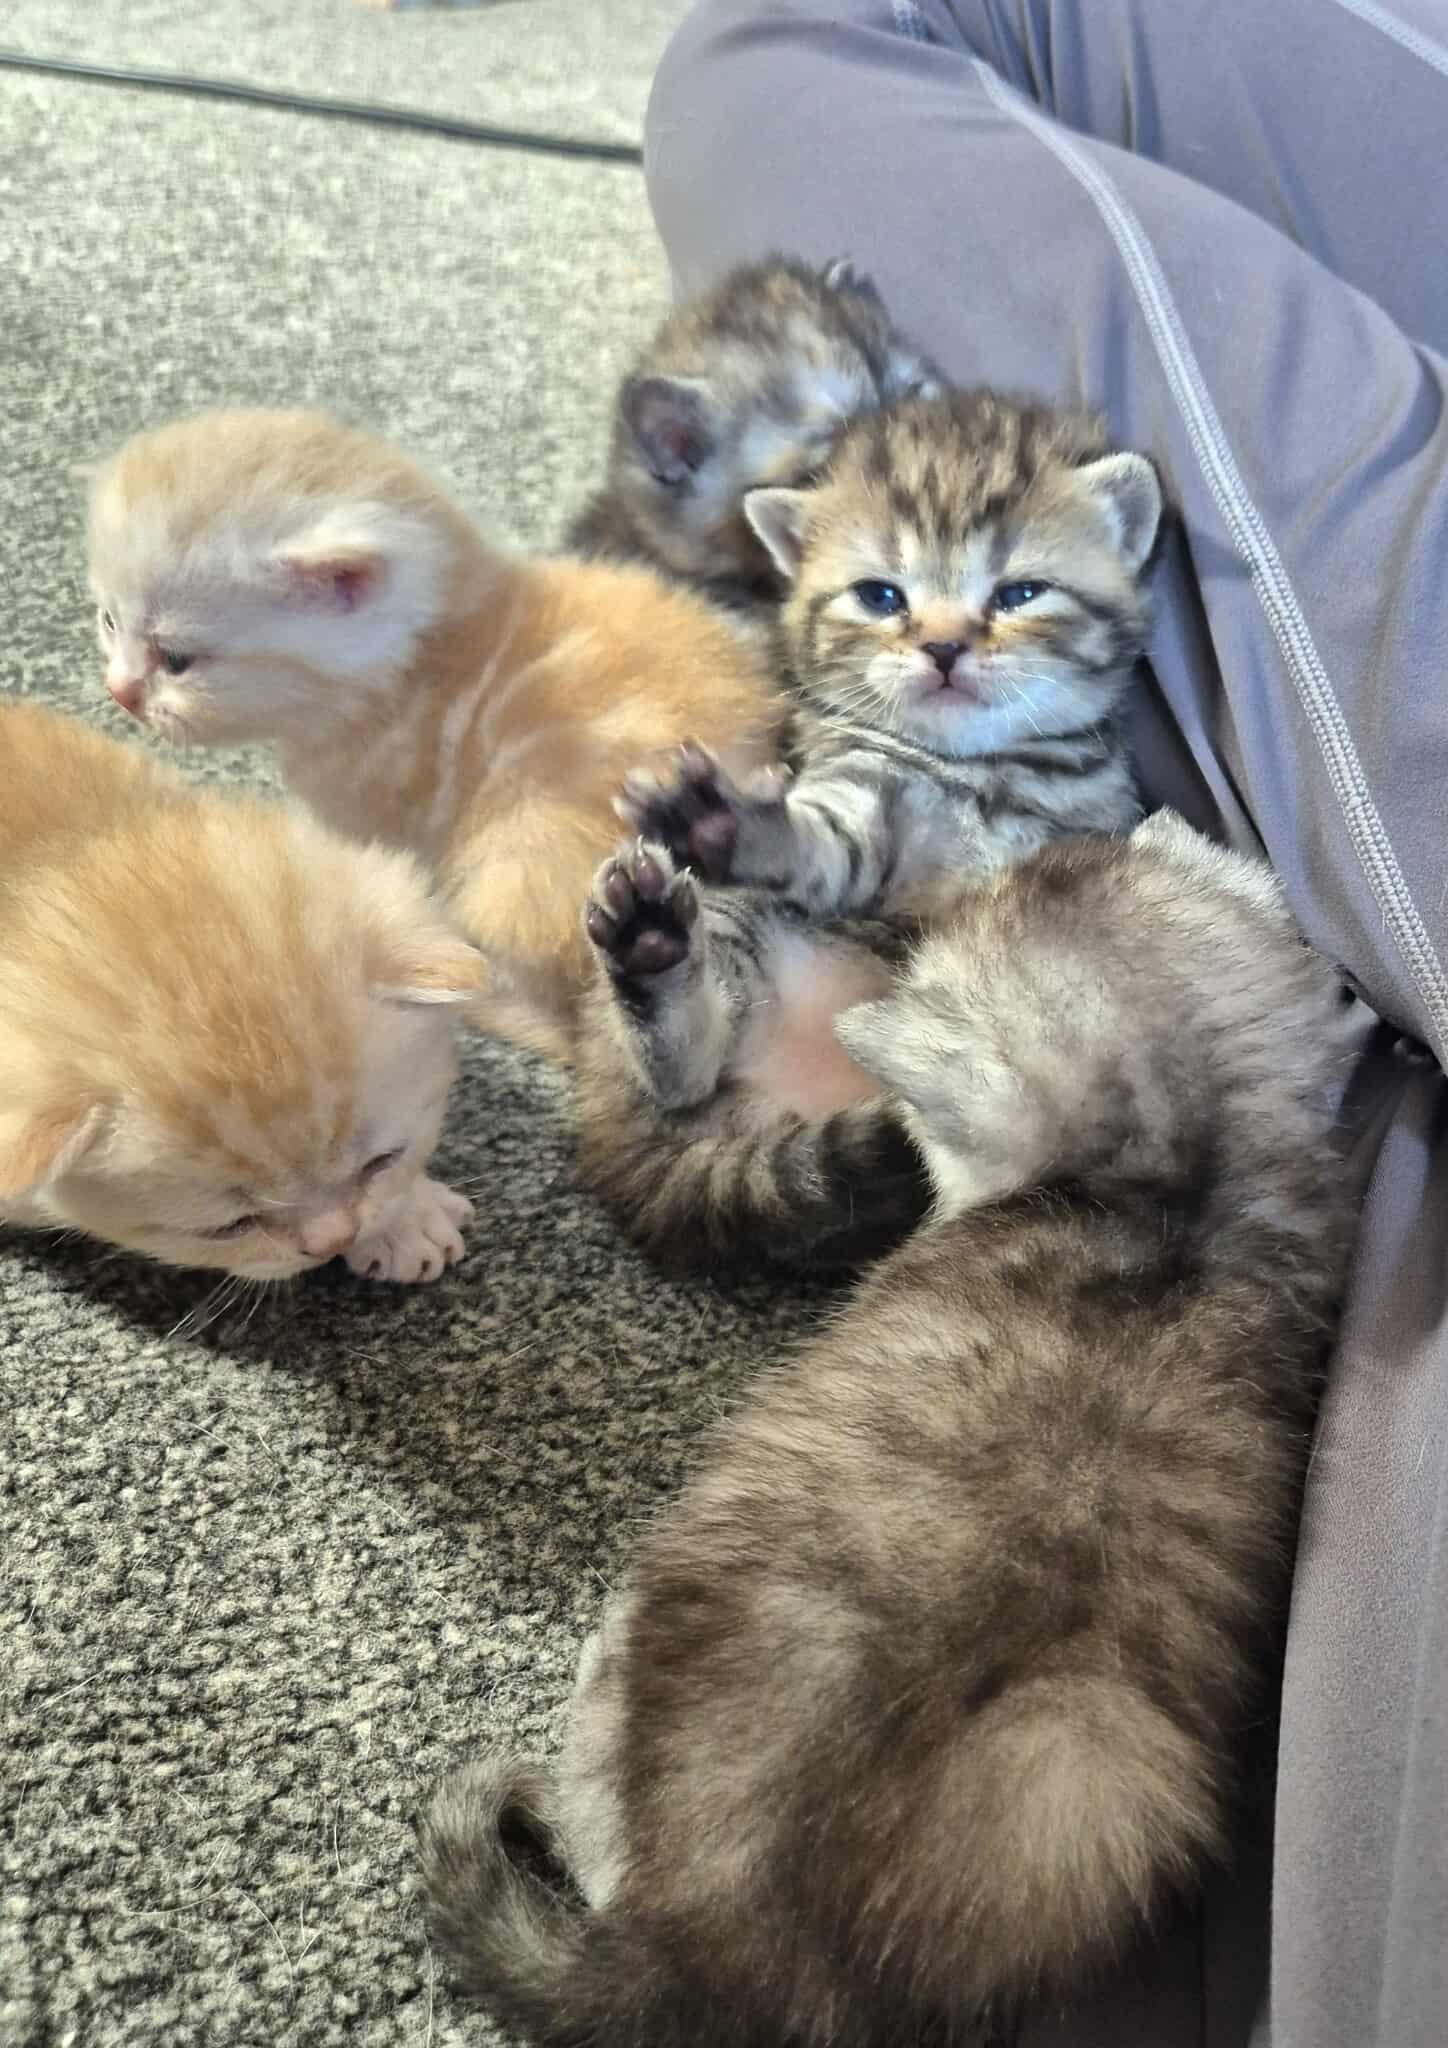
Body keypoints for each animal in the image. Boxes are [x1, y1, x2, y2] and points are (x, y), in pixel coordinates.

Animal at [572, 389, 1162, 1269]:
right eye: (882, 597)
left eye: (1019, 594)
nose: (944, 647)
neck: (978, 770)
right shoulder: (856, 802)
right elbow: (823, 845)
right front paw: (728, 822)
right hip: (728, 923)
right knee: (684, 1071)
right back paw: (653, 949)